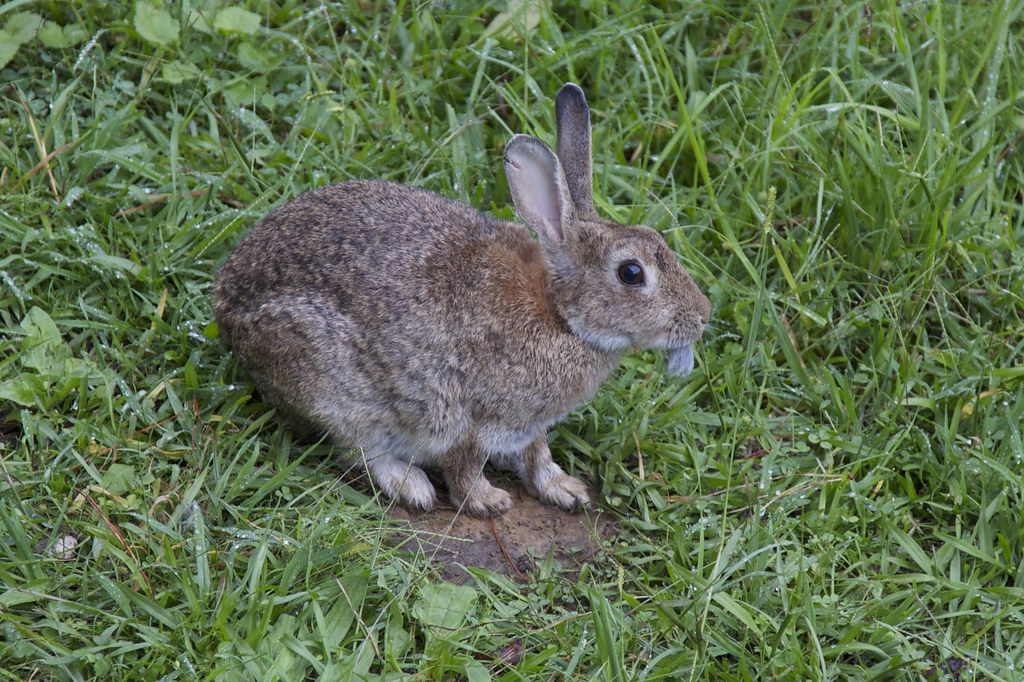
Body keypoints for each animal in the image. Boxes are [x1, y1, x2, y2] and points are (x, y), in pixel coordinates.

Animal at [212, 83, 711, 518]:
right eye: (631, 273)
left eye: (655, 238)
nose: (703, 317)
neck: (559, 314)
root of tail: (226, 306)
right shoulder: (465, 416)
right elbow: (465, 464)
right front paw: (487, 502)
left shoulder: (529, 424)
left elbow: (538, 454)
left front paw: (565, 490)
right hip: (330, 385)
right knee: (359, 450)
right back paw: (411, 486)